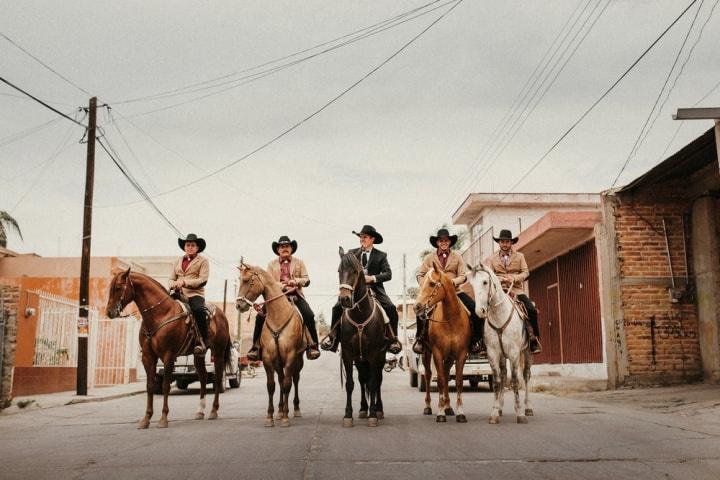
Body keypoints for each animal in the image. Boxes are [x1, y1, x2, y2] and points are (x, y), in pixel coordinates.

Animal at [105, 268, 231, 430]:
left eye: (119, 287)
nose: (109, 312)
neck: (160, 314)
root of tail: (222, 315)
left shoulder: (168, 356)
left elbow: (165, 386)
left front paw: (163, 418)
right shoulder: (148, 357)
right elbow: (150, 386)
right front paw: (146, 419)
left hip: (218, 352)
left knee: (218, 377)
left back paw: (214, 411)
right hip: (199, 355)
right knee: (203, 377)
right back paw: (200, 411)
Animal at [236, 262, 304, 428]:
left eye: (247, 281)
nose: (239, 305)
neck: (278, 316)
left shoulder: (290, 356)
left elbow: (287, 384)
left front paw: (285, 417)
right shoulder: (268, 358)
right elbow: (272, 385)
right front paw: (270, 417)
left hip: (298, 359)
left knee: (295, 379)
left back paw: (295, 409)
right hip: (278, 361)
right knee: (280, 379)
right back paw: (280, 410)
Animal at [338, 248, 388, 428]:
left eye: (355, 271)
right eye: (339, 271)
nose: (344, 299)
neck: (360, 315)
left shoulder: (374, 353)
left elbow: (373, 383)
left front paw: (373, 414)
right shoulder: (348, 353)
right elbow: (350, 384)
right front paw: (348, 415)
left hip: (380, 356)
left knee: (377, 379)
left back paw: (378, 409)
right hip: (360, 359)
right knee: (362, 380)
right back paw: (362, 408)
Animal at [416, 260, 472, 422]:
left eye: (431, 284)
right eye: (422, 282)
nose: (417, 306)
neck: (451, 319)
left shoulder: (461, 354)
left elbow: (458, 381)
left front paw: (460, 412)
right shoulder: (437, 353)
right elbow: (440, 381)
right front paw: (440, 413)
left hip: (449, 356)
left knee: (447, 374)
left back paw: (448, 407)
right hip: (427, 353)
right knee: (428, 375)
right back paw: (428, 407)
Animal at [470, 262, 532, 424]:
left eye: (485, 282)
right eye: (472, 284)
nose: (480, 311)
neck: (499, 315)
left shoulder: (514, 353)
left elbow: (515, 381)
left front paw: (520, 414)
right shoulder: (493, 353)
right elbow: (497, 382)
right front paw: (494, 413)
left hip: (527, 351)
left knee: (526, 375)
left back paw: (528, 408)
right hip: (503, 356)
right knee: (504, 375)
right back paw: (500, 408)